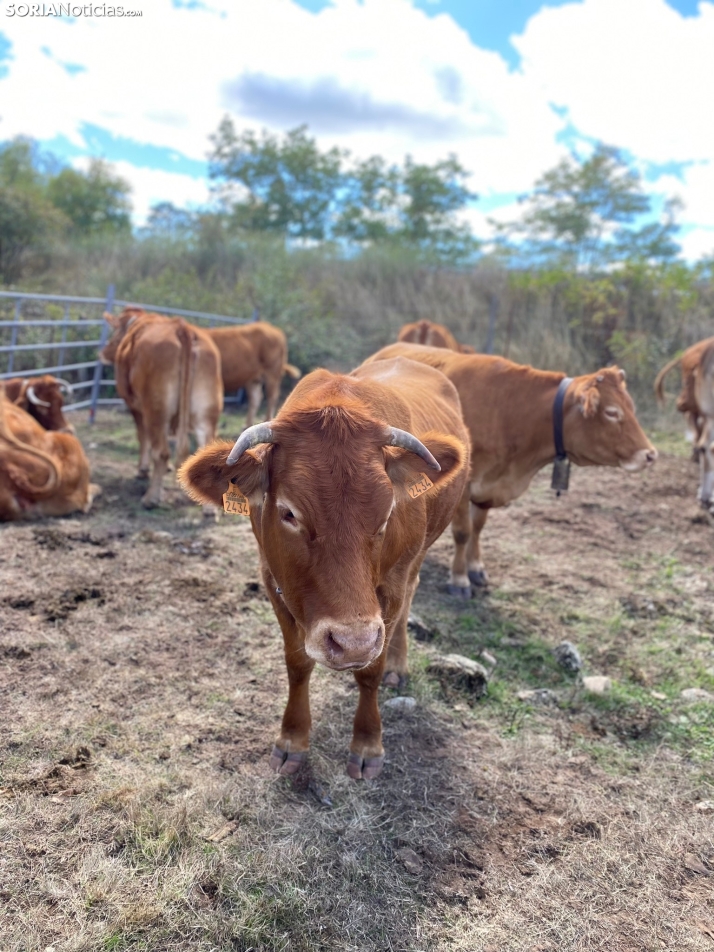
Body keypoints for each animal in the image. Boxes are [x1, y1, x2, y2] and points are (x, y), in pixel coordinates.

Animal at [100, 308, 221, 510]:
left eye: (115, 332)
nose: (103, 352)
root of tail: (182, 328)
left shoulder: (135, 406)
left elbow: (142, 437)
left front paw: (142, 469)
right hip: (206, 410)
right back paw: (209, 509)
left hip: (155, 410)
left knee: (161, 452)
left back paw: (151, 498)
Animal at [178, 356, 468, 780]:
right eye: (288, 512)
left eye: (387, 513)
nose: (352, 643)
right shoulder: (274, 579)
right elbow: (297, 662)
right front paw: (292, 740)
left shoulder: (389, 589)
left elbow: (370, 669)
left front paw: (367, 744)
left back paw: (398, 664)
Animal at [368, 342, 656, 596]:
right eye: (612, 412)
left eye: (631, 407)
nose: (651, 454)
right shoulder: (465, 484)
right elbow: (463, 532)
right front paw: (459, 579)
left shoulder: (488, 489)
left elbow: (478, 527)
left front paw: (476, 568)